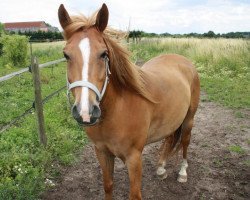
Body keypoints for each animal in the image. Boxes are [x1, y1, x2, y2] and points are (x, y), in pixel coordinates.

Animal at [57, 3, 200, 200]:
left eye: (104, 54)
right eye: (66, 55)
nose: (85, 112)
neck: (118, 110)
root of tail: (184, 61)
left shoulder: (134, 158)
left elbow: (135, 194)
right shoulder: (102, 152)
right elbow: (108, 185)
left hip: (188, 120)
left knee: (185, 141)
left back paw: (183, 173)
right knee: (170, 137)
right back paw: (161, 168)